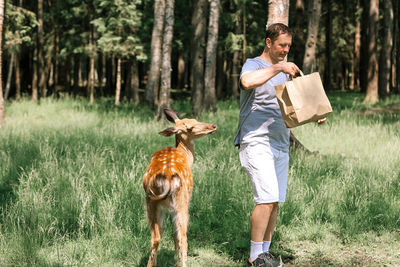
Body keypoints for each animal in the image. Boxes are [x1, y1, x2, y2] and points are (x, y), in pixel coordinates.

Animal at [144, 109, 217, 267]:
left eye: (195, 119)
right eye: (190, 127)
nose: (213, 126)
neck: (185, 156)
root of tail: (167, 179)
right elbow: (176, 235)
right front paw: (176, 261)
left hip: (151, 202)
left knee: (155, 238)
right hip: (181, 202)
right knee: (183, 237)